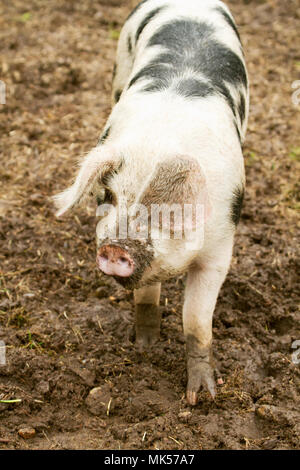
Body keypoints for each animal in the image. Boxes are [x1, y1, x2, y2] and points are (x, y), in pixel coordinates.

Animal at [53, 0, 248, 404]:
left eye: (166, 208)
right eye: (109, 196)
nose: (115, 248)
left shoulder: (220, 249)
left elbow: (196, 321)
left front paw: (202, 397)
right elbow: (145, 295)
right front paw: (144, 347)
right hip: (119, 64)